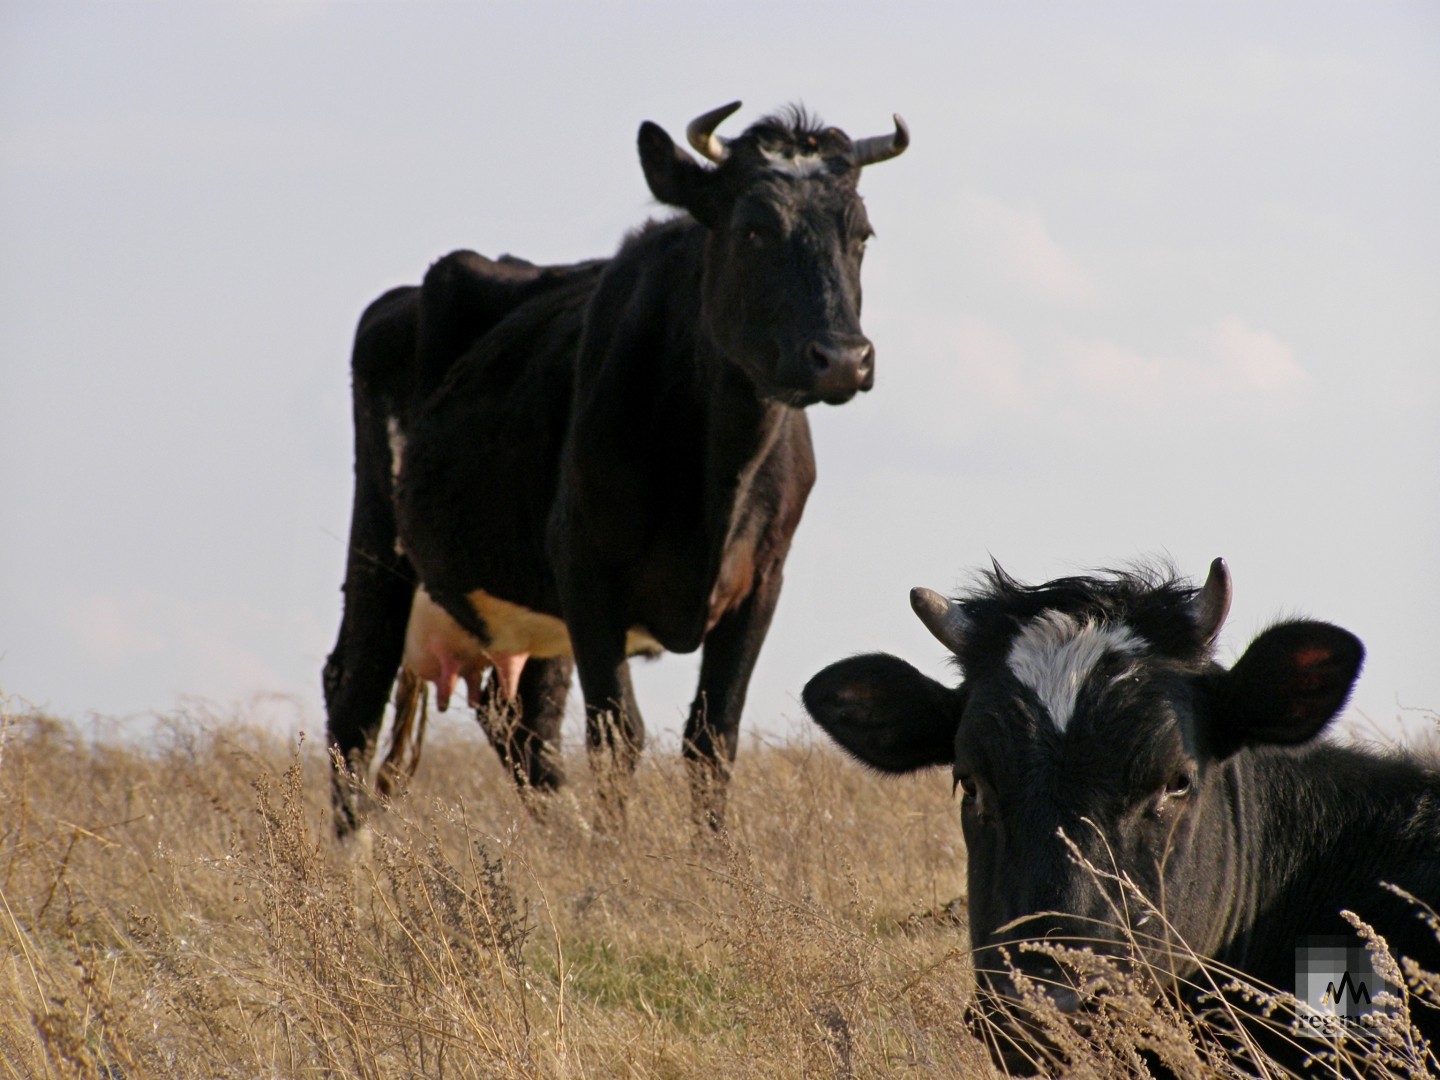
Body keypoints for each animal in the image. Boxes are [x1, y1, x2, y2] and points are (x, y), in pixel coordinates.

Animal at [326, 103, 910, 835]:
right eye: (752, 228)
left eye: (860, 233)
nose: (842, 358)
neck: (714, 481)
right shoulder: (585, 570)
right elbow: (617, 734)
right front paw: (616, 854)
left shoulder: (762, 579)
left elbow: (712, 736)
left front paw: (709, 858)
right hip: (381, 544)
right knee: (355, 691)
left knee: (523, 726)